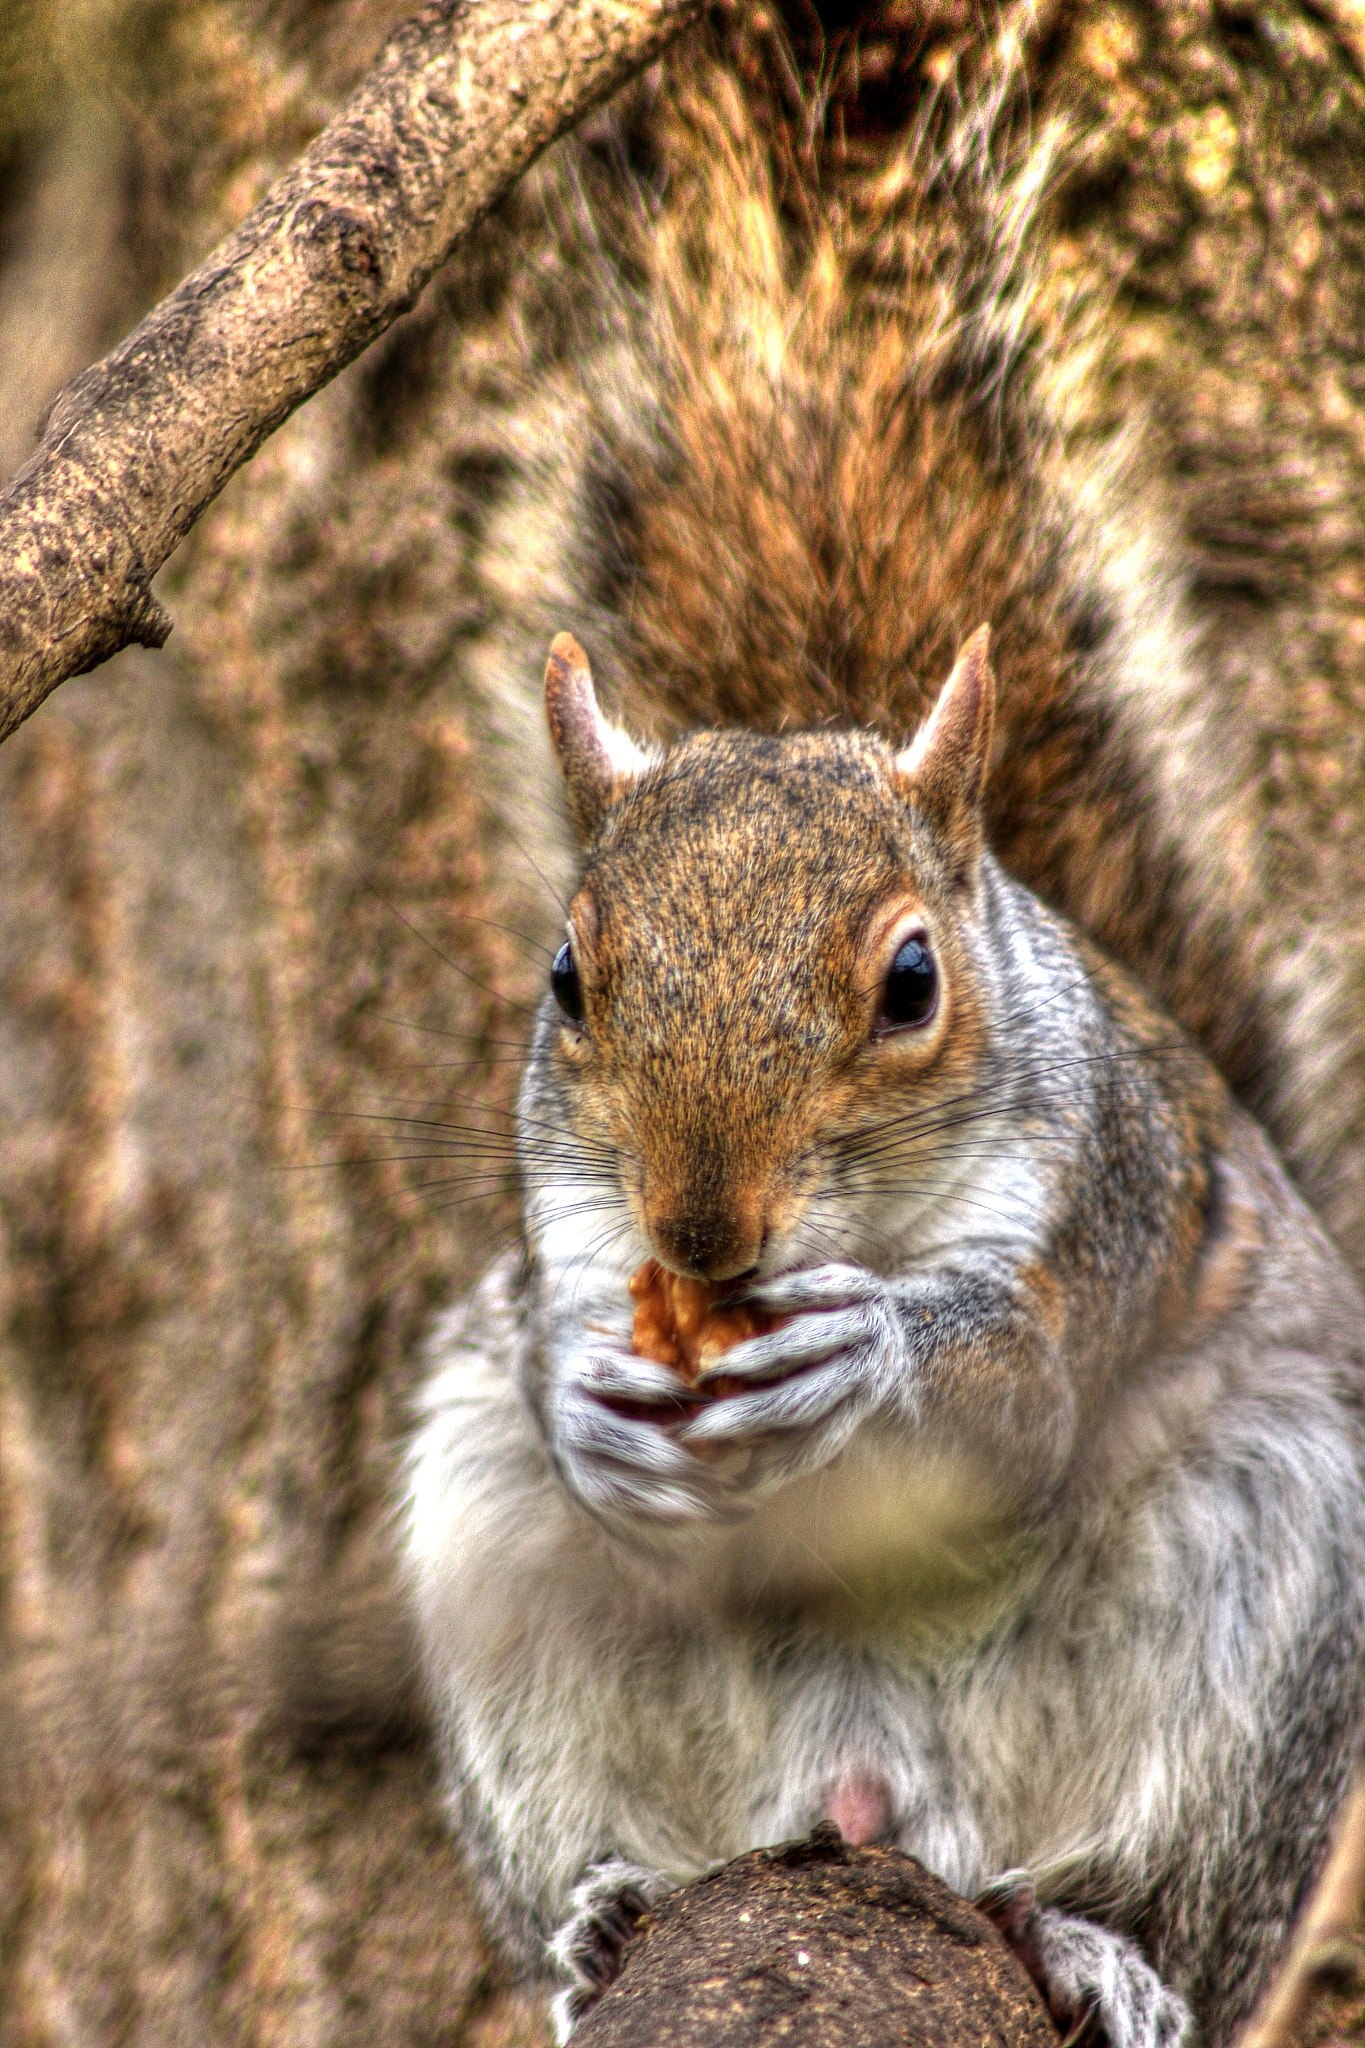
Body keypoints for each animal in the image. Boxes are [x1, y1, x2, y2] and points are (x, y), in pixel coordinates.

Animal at [405, 624, 1365, 2045]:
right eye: (568, 978)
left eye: (913, 981)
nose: (700, 1233)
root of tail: (862, 1798)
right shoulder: (560, 1246)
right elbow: (551, 1357)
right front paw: (588, 1415)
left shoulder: (1097, 1212)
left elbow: (1021, 1415)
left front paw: (868, 1364)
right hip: (500, 1575)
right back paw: (607, 1925)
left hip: (1274, 1568)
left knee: (1163, 1890)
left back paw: (1084, 1944)